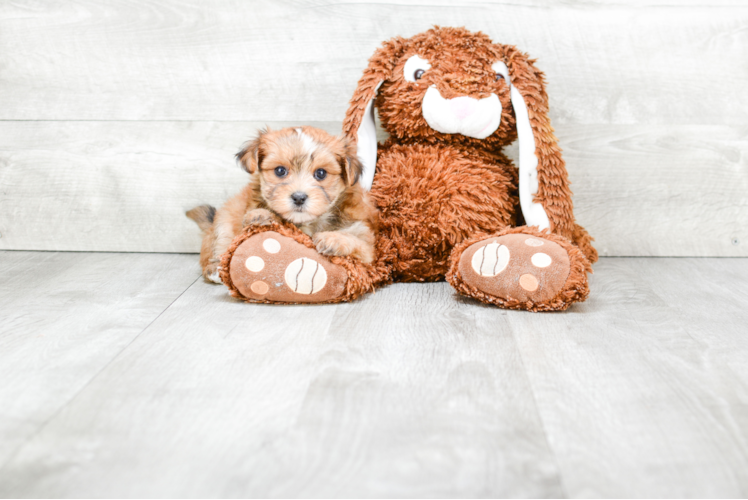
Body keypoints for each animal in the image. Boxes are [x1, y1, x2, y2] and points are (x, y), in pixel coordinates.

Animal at [185, 127, 376, 284]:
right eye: (280, 171)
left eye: (321, 173)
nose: (299, 197)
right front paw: (262, 215)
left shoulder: (367, 244)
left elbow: (357, 242)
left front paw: (333, 239)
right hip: (224, 221)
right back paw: (216, 270)